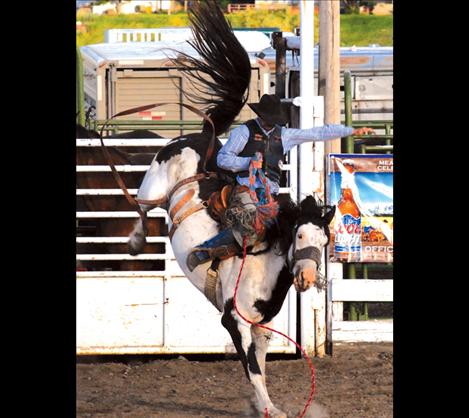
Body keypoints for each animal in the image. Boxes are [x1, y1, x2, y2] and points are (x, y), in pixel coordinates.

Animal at [126, 1, 334, 416]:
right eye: (300, 234)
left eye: (325, 242)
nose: (306, 278)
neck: (265, 264)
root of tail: (204, 134)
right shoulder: (232, 320)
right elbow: (251, 368)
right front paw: (268, 408)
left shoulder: (260, 325)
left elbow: (261, 367)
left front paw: (263, 404)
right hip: (153, 182)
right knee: (141, 206)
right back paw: (137, 241)